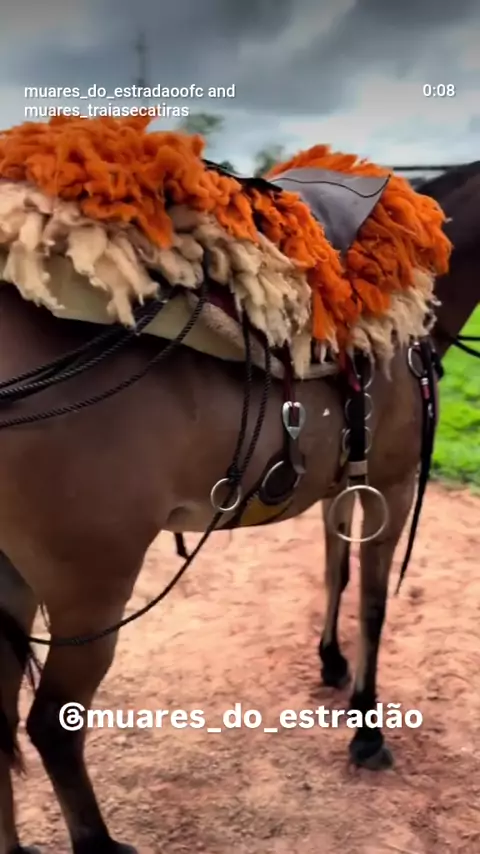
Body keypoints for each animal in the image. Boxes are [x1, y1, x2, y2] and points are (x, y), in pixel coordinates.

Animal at [318, 162, 480, 700]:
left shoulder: (341, 480)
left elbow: (338, 569)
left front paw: (330, 658)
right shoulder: (393, 486)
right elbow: (373, 602)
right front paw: (364, 709)